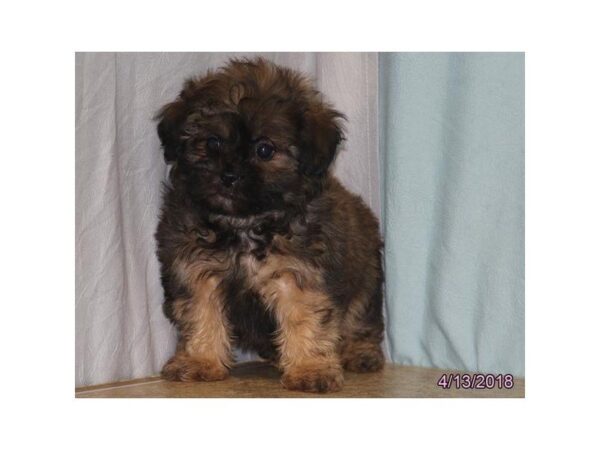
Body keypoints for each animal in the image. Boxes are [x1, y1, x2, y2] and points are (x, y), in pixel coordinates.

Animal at [155, 58, 384, 392]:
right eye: (212, 142)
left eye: (265, 150)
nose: (229, 175)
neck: (245, 223)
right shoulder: (196, 270)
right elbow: (201, 313)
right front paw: (200, 360)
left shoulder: (299, 273)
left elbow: (305, 318)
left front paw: (309, 368)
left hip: (366, 280)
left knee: (361, 319)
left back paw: (360, 353)